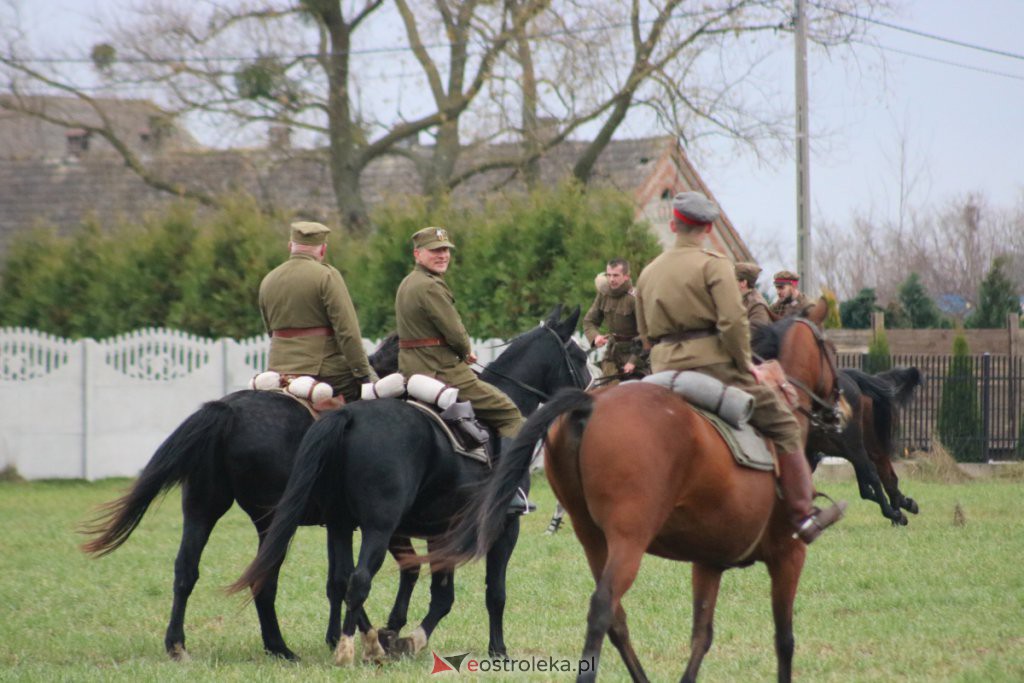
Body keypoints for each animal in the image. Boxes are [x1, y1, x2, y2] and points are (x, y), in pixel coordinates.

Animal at [432, 307, 839, 679]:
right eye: (577, 357)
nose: (837, 408)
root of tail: (591, 406)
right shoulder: (787, 554)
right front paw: (496, 650)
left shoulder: (710, 558)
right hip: (628, 540)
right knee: (604, 607)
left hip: (596, 539)